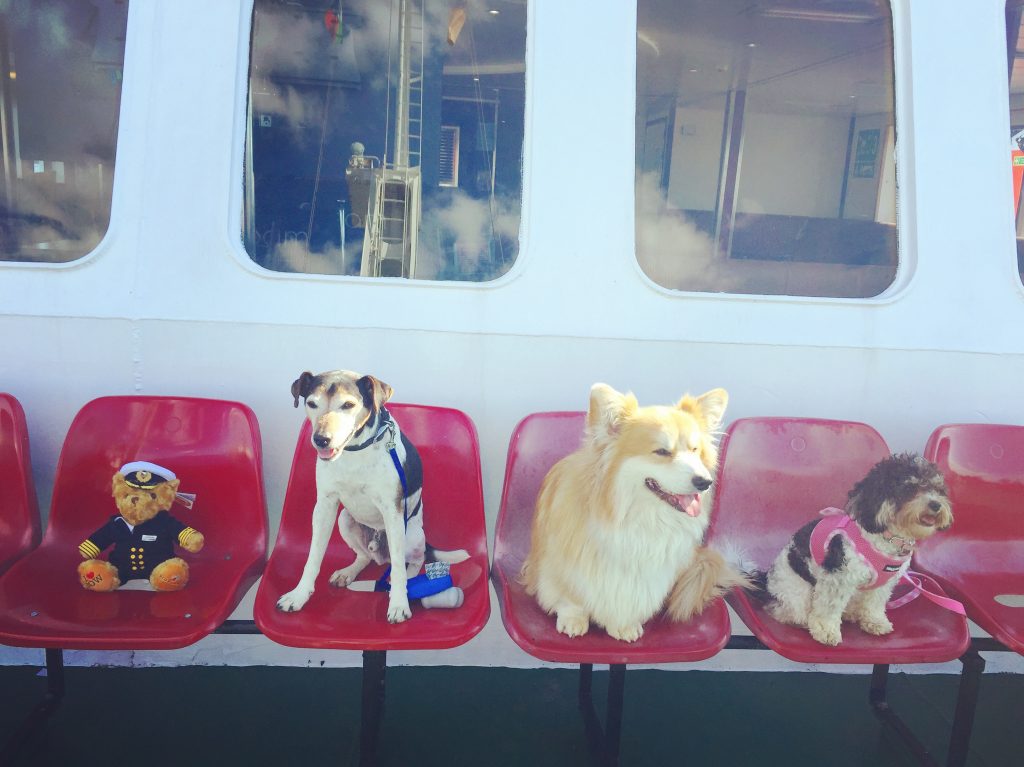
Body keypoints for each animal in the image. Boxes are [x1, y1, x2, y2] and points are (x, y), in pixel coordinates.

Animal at [276, 370, 468, 622]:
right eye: (311, 403)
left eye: (348, 405)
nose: (321, 440)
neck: (354, 450)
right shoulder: (324, 506)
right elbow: (313, 556)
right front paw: (299, 595)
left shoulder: (392, 511)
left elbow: (398, 567)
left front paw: (399, 603)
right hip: (345, 520)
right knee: (365, 556)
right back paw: (348, 572)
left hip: (411, 533)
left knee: (413, 560)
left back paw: (409, 577)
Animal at [761, 452, 950, 643]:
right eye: (909, 488)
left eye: (938, 489)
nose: (936, 505)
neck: (888, 538)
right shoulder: (838, 577)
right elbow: (829, 606)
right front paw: (825, 630)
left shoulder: (883, 584)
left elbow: (874, 603)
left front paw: (875, 622)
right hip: (797, 591)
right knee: (783, 610)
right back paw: (802, 620)